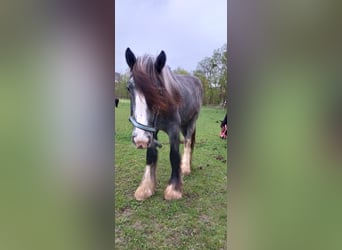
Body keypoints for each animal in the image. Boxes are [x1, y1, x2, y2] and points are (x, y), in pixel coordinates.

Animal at [124, 47, 202, 200]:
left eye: (158, 90)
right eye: (129, 88)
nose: (140, 140)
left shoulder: (173, 129)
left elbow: (174, 155)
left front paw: (174, 189)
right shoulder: (152, 131)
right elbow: (151, 154)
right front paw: (146, 187)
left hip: (192, 121)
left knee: (188, 141)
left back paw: (185, 167)